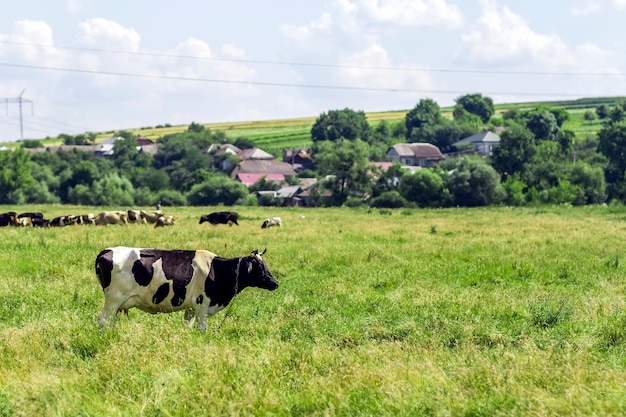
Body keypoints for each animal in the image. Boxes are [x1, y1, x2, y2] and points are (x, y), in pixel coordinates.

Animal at [94, 245, 276, 330]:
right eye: (260, 268)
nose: (275, 283)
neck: (217, 270)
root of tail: (107, 251)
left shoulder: (190, 308)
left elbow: (187, 326)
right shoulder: (202, 305)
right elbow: (202, 329)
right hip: (113, 299)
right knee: (103, 320)